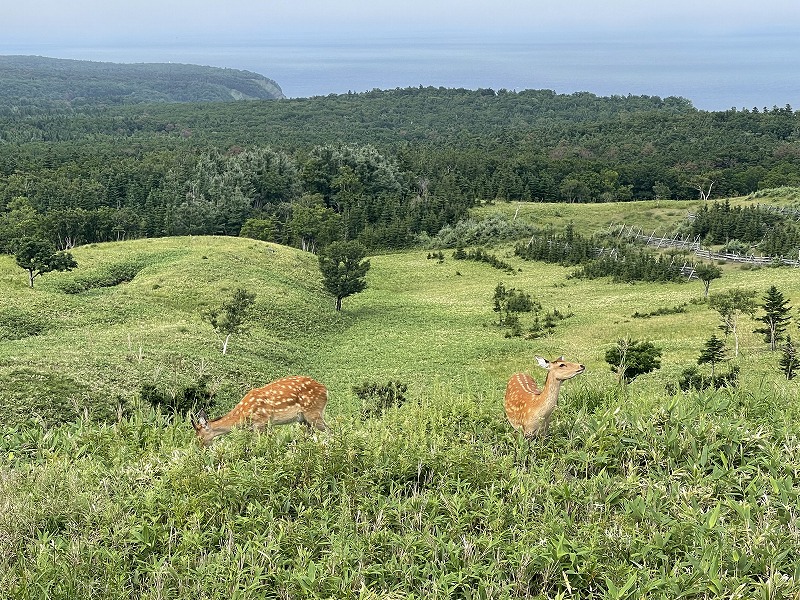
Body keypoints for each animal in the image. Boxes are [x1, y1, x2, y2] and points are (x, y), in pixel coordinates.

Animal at [192, 376, 330, 446]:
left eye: (199, 438)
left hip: (313, 412)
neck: (243, 416)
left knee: (329, 430)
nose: (200, 450)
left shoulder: (261, 422)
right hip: (303, 419)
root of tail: (325, 390)